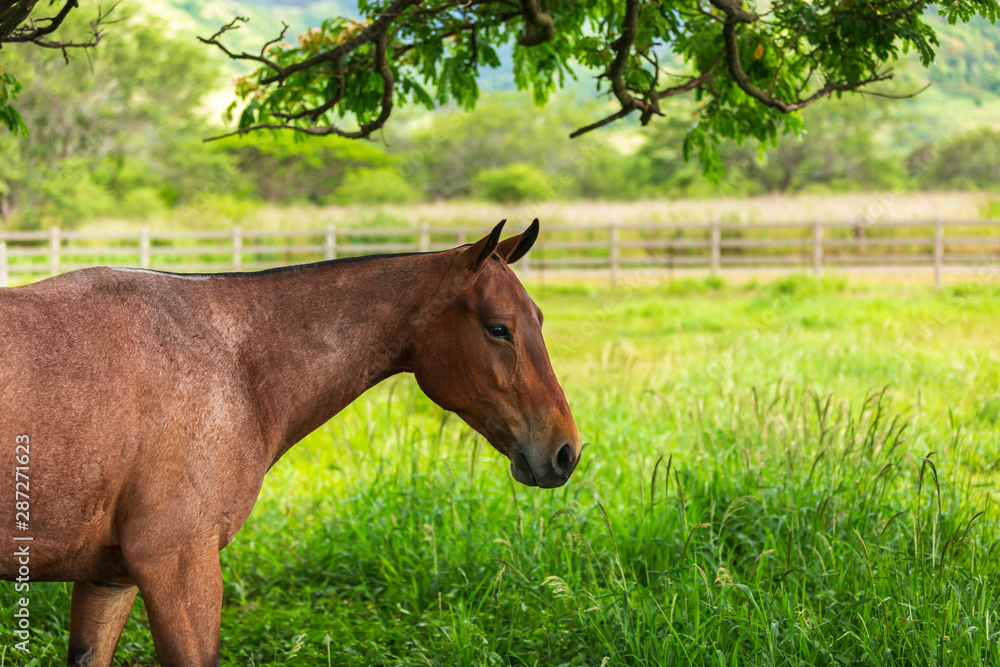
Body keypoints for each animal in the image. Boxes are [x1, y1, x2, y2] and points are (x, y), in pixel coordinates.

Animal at [0, 222, 584, 664]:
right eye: (498, 328)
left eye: (538, 319)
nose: (565, 451)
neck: (232, 360)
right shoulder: (177, 565)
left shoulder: (109, 579)